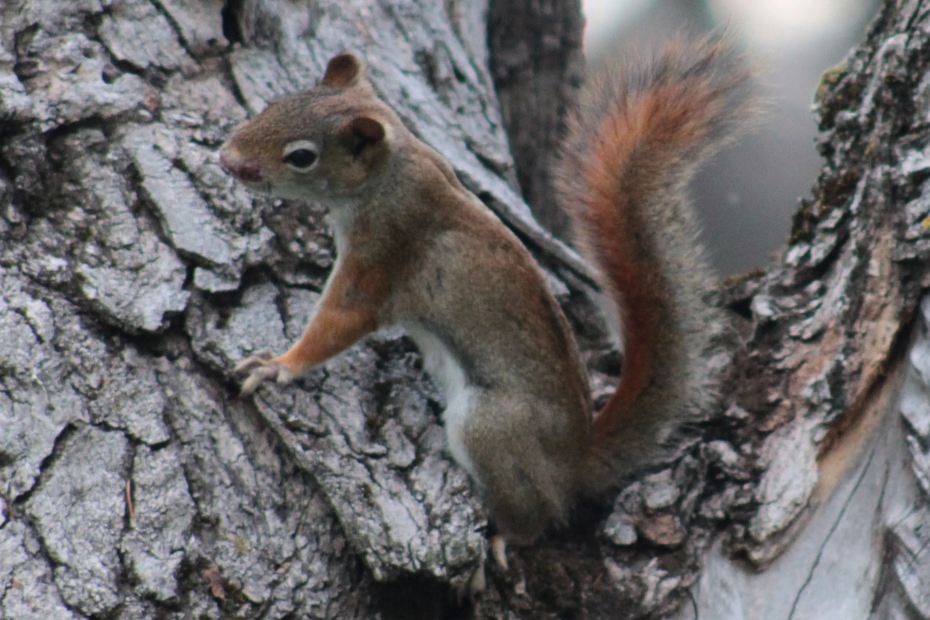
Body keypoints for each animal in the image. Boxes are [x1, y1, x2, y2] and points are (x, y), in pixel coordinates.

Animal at [219, 38, 758, 561]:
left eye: (302, 156)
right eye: (272, 104)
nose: (225, 159)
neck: (392, 176)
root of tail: (573, 465)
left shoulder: (384, 255)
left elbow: (339, 322)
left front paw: (278, 366)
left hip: (489, 426)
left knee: (536, 517)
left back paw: (505, 539)